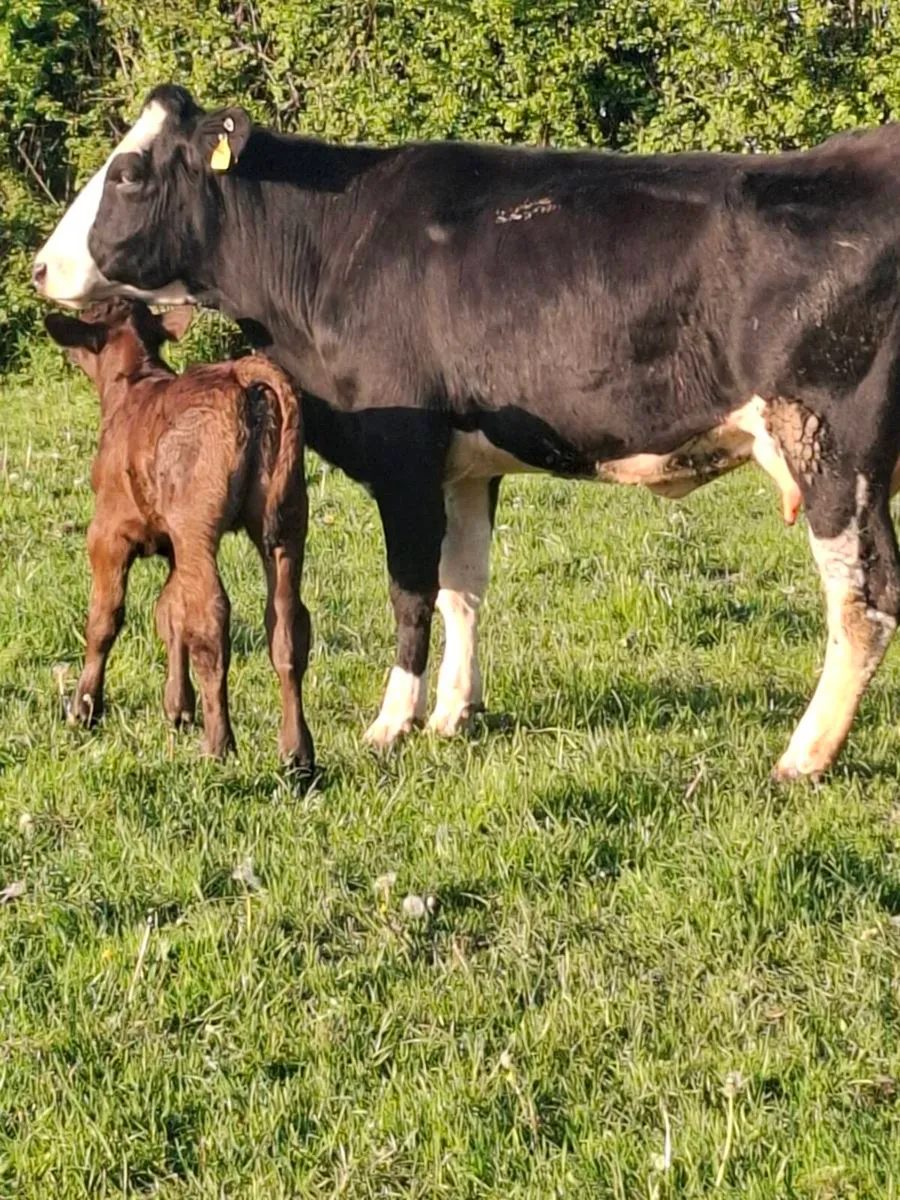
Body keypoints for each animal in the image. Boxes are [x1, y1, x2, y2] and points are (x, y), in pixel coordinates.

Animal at [44, 298, 314, 774]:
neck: (131, 389)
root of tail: (240, 373)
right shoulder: (170, 542)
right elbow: (170, 613)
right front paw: (178, 707)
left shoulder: (108, 532)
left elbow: (105, 617)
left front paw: (85, 707)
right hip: (286, 521)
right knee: (287, 622)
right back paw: (296, 751)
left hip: (197, 525)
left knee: (212, 618)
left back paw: (218, 745)